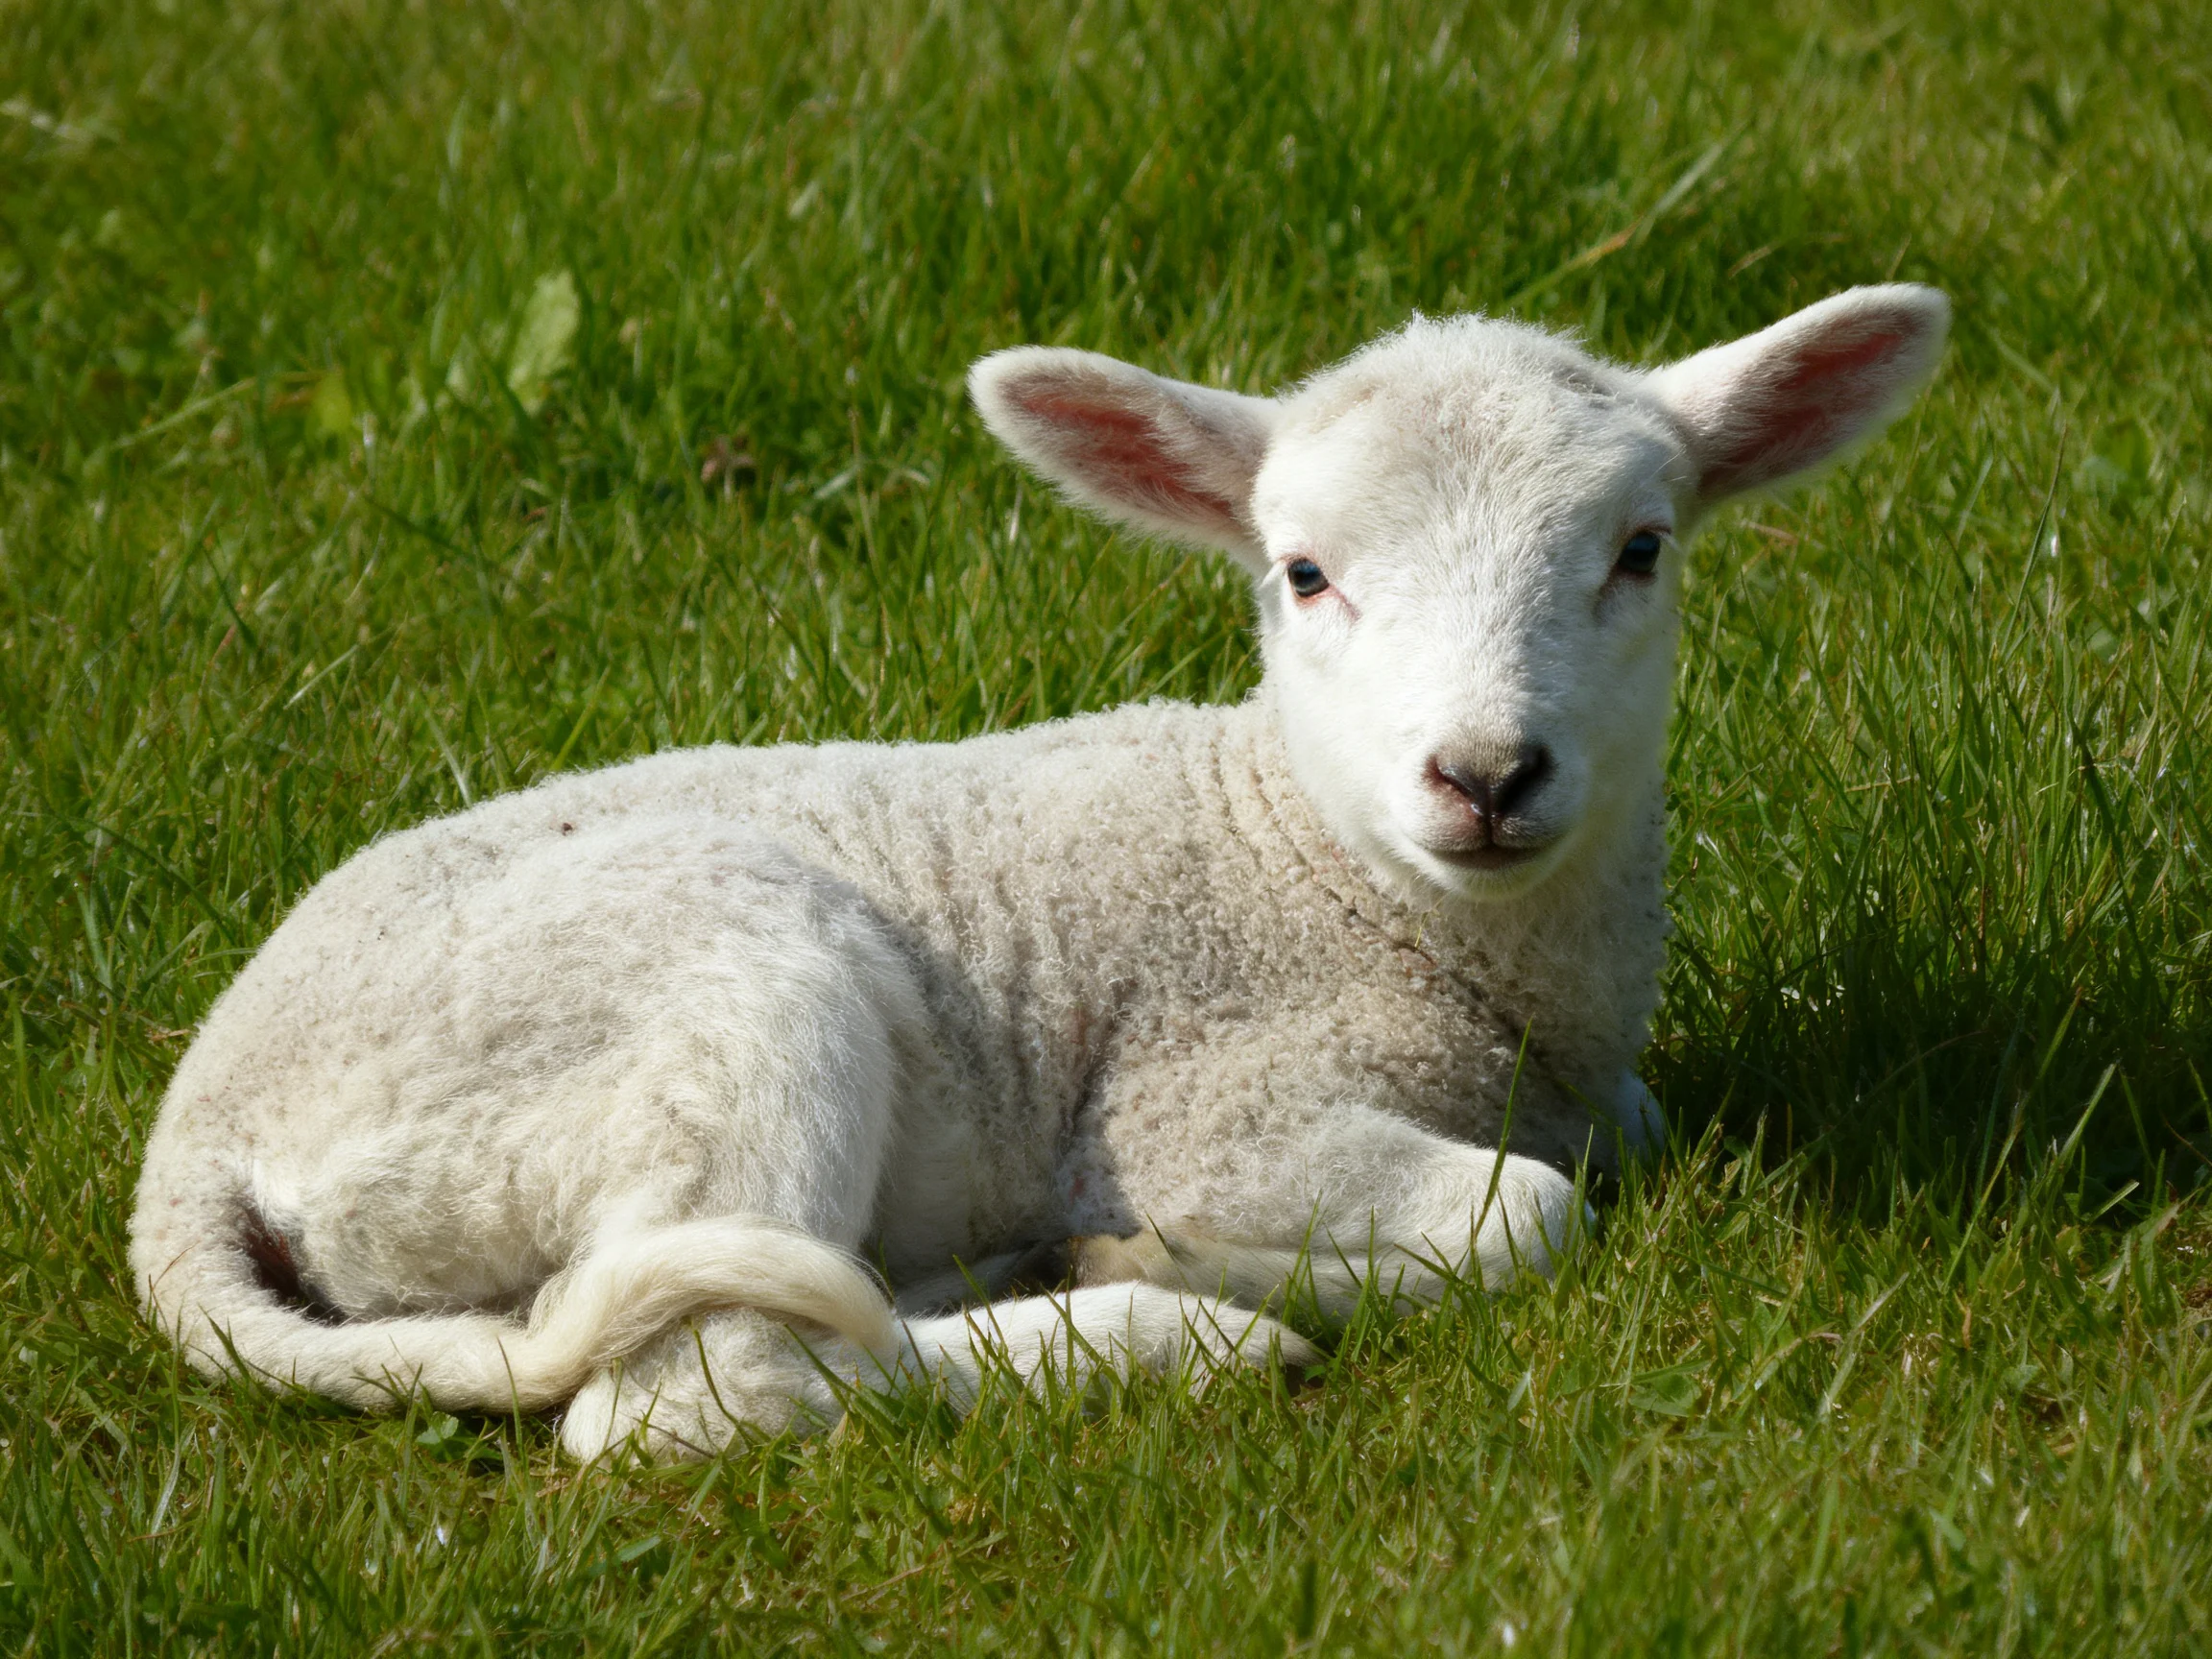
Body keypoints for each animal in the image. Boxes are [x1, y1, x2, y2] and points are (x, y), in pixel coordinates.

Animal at [130, 284, 1949, 1460]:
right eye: (1303, 574)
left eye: (1640, 550)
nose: (1488, 775)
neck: (1321, 868)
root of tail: (195, 1146)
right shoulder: (1204, 1097)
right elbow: (1532, 1214)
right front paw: (1201, 1259)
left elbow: (1620, 1146)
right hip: (721, 1006)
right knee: (690, 1402)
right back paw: (1165, 1328)